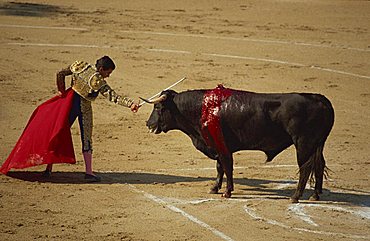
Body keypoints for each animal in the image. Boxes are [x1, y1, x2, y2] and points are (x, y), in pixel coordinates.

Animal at [142, 85, 336, 203]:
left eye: (158, 108)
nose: (148, 123)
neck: (203, 109)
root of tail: (319, 99)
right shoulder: (218, 147)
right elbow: (220, 168)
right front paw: (215, 188)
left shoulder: (223, 148)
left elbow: (227, 167)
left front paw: (227, 192)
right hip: (318, 144)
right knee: (319, 165)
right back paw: (315, 195)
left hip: (303, 143)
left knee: (305, 168)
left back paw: (295, 196)